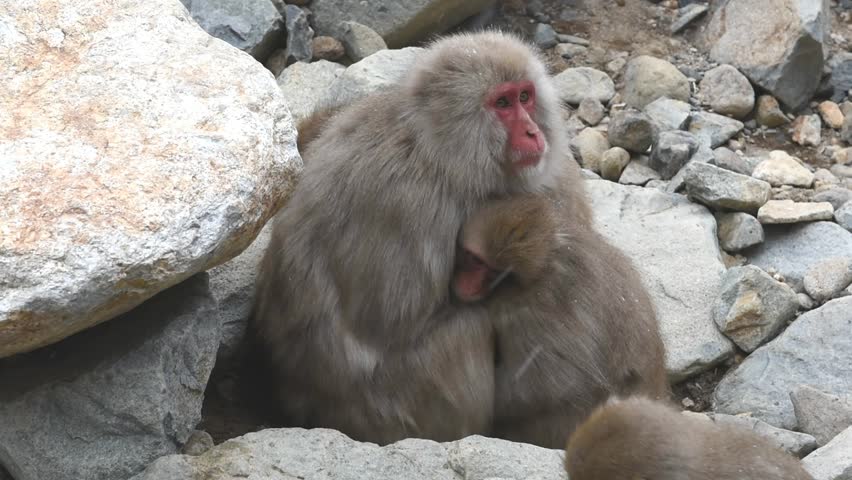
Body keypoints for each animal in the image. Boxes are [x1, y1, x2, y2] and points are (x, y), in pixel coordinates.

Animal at [250, 31, 590, 445]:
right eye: (502, 103)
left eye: (525, 96)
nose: (532, 132)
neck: (440, 152)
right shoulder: (407, 202)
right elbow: (391, 322)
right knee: (471, 328)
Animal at [452, 194, 668, 449]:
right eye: (474, 259)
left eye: (490, 270)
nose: (467, 284)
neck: (546, 260)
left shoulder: (531, 310)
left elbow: (555, 381)